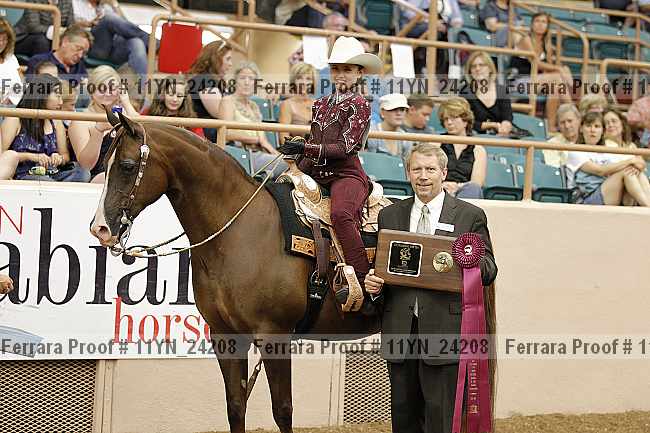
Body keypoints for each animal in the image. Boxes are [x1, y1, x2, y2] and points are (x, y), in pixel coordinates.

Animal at [89, 112, 380, 433]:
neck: (240, 231)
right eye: (103, 166)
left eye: (127, 166)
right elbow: (236, 406)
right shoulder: (225, 335)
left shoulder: (273, 334)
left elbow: (283, 410)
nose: (100, 228)